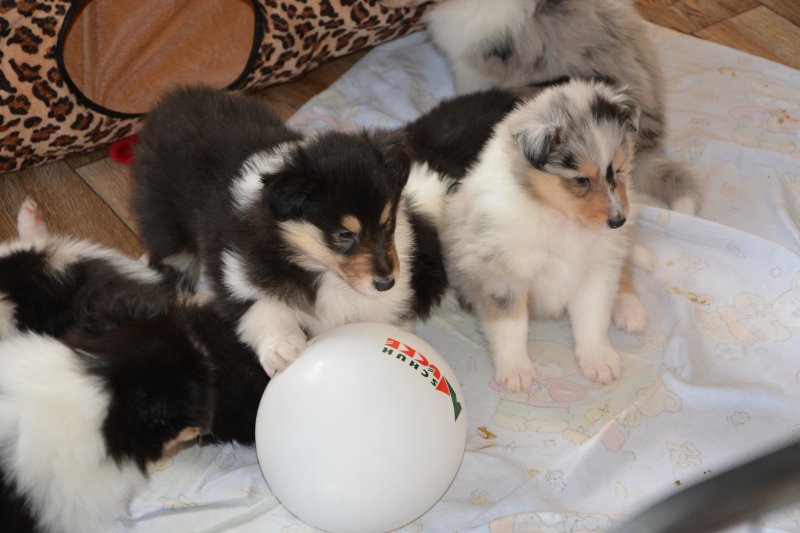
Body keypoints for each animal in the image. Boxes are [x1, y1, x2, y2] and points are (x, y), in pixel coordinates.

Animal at [131, 86, 448, 376]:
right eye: (344, 235)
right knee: (169, 248)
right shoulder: (234, 269)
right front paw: (284, 348)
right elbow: (259, 306)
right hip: (163, 213)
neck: (319, 269)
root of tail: (171, 100)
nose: (386, 283)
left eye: (388, 223)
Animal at [430, 80, 648, 391]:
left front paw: (599, 361)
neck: (559, 216)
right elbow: (511, 327)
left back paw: (631, 310)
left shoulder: (597, 270)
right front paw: (516, 372)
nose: (618, 220)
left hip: (620, 245)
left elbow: (593, 318)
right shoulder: (503, 275)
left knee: (625, 268)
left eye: (618, 170)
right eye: (582, 179)